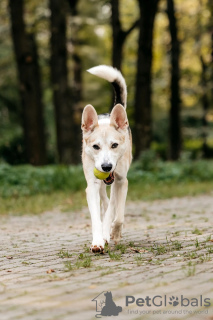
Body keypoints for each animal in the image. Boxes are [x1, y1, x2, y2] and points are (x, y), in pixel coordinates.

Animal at [81, 66, 131, 254]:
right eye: (96, 146)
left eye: (114, 145)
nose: (106, 166)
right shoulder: (92, 185)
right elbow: (97, 217)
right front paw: (97, 241)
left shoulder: (121, 181)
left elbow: (116, 214)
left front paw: (113, 232)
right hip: (100, 185)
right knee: (105, 199)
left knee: (114, 205)